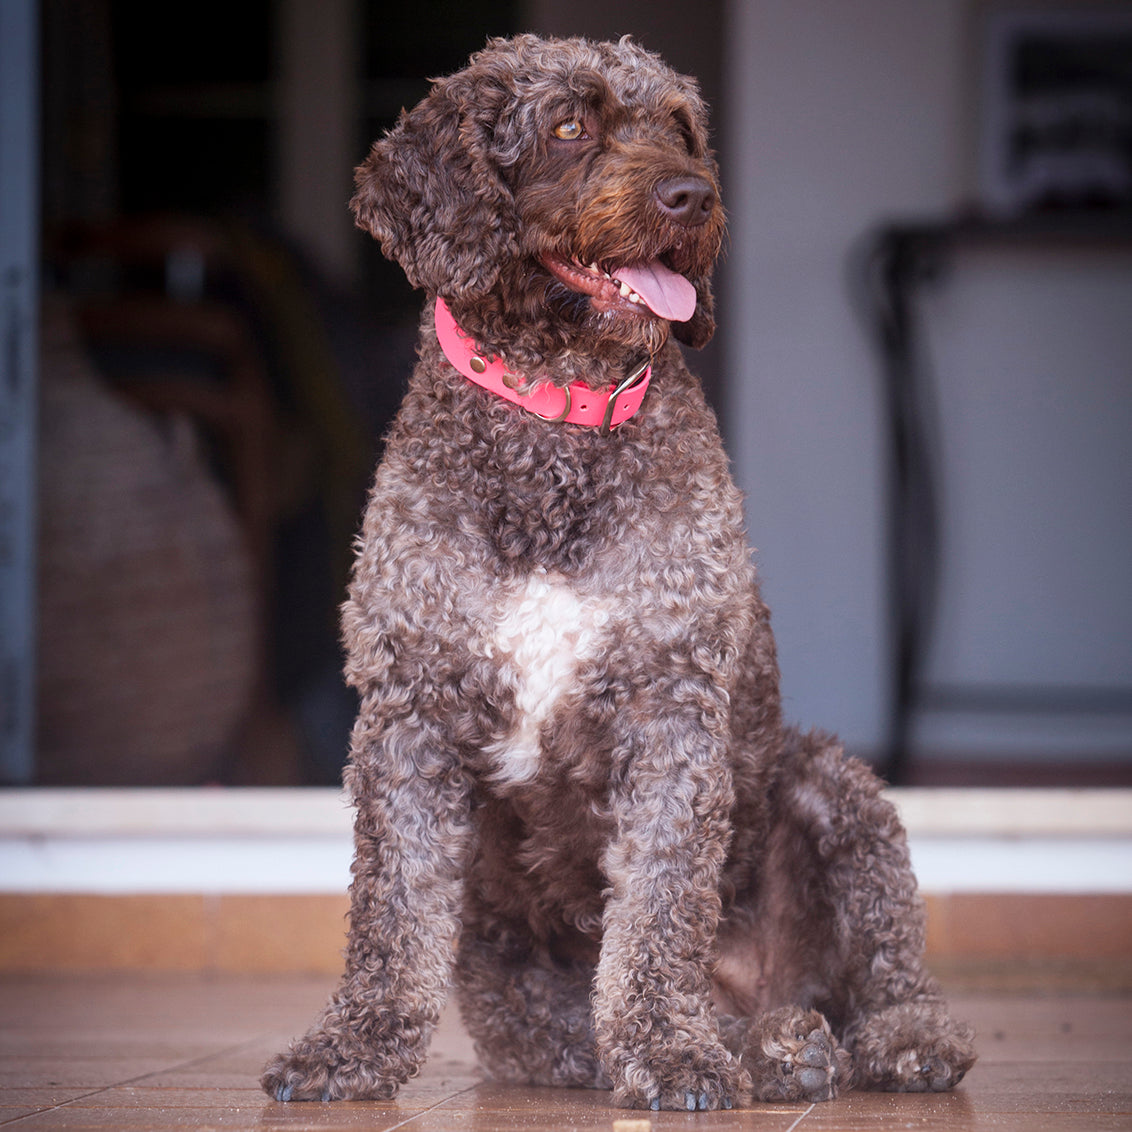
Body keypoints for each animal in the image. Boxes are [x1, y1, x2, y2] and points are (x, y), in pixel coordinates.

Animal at [260, 30, 978, 1109]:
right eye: (568, 124)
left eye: (680, 127)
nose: (694, 195)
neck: (557, 410)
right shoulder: (411, 710)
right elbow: (392, 908)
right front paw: (353, 1047)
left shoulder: (668, 707)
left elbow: (658, 909)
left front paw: (670, 1050)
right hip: (524, 1006)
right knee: (614, 1033)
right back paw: (773, 1048)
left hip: (831, 788)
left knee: (882, 969)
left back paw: (874, 1037)